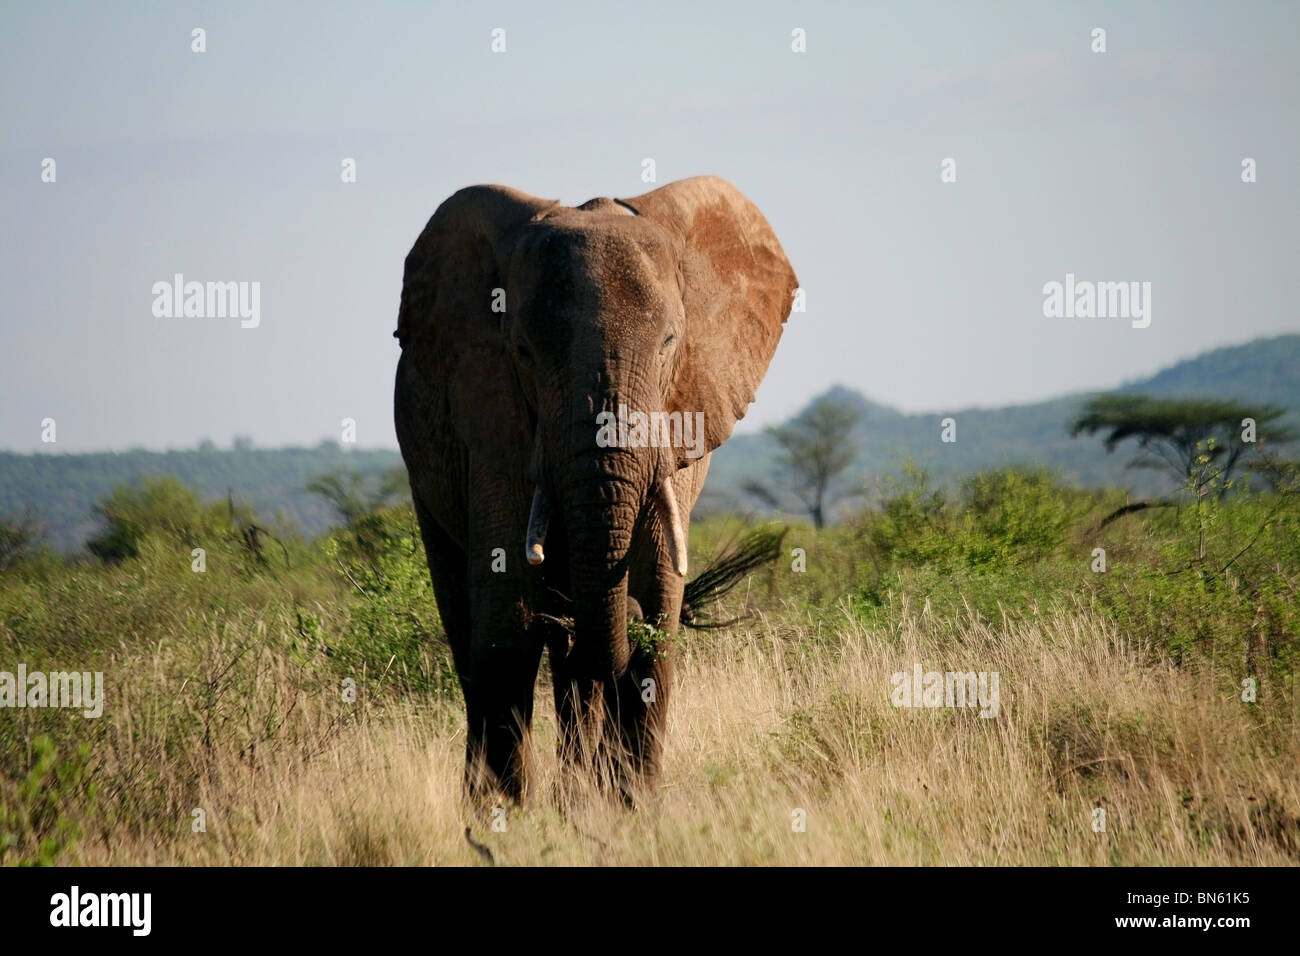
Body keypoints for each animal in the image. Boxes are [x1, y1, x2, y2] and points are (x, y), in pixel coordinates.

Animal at [390, 175, 795, 806]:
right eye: (523, 352)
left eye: (670, 342)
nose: (623, 608)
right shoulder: (496, 417)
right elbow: (507, 615)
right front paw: (506, 816)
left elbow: (658, 598)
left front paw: (633, 808)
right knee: (472, 624)